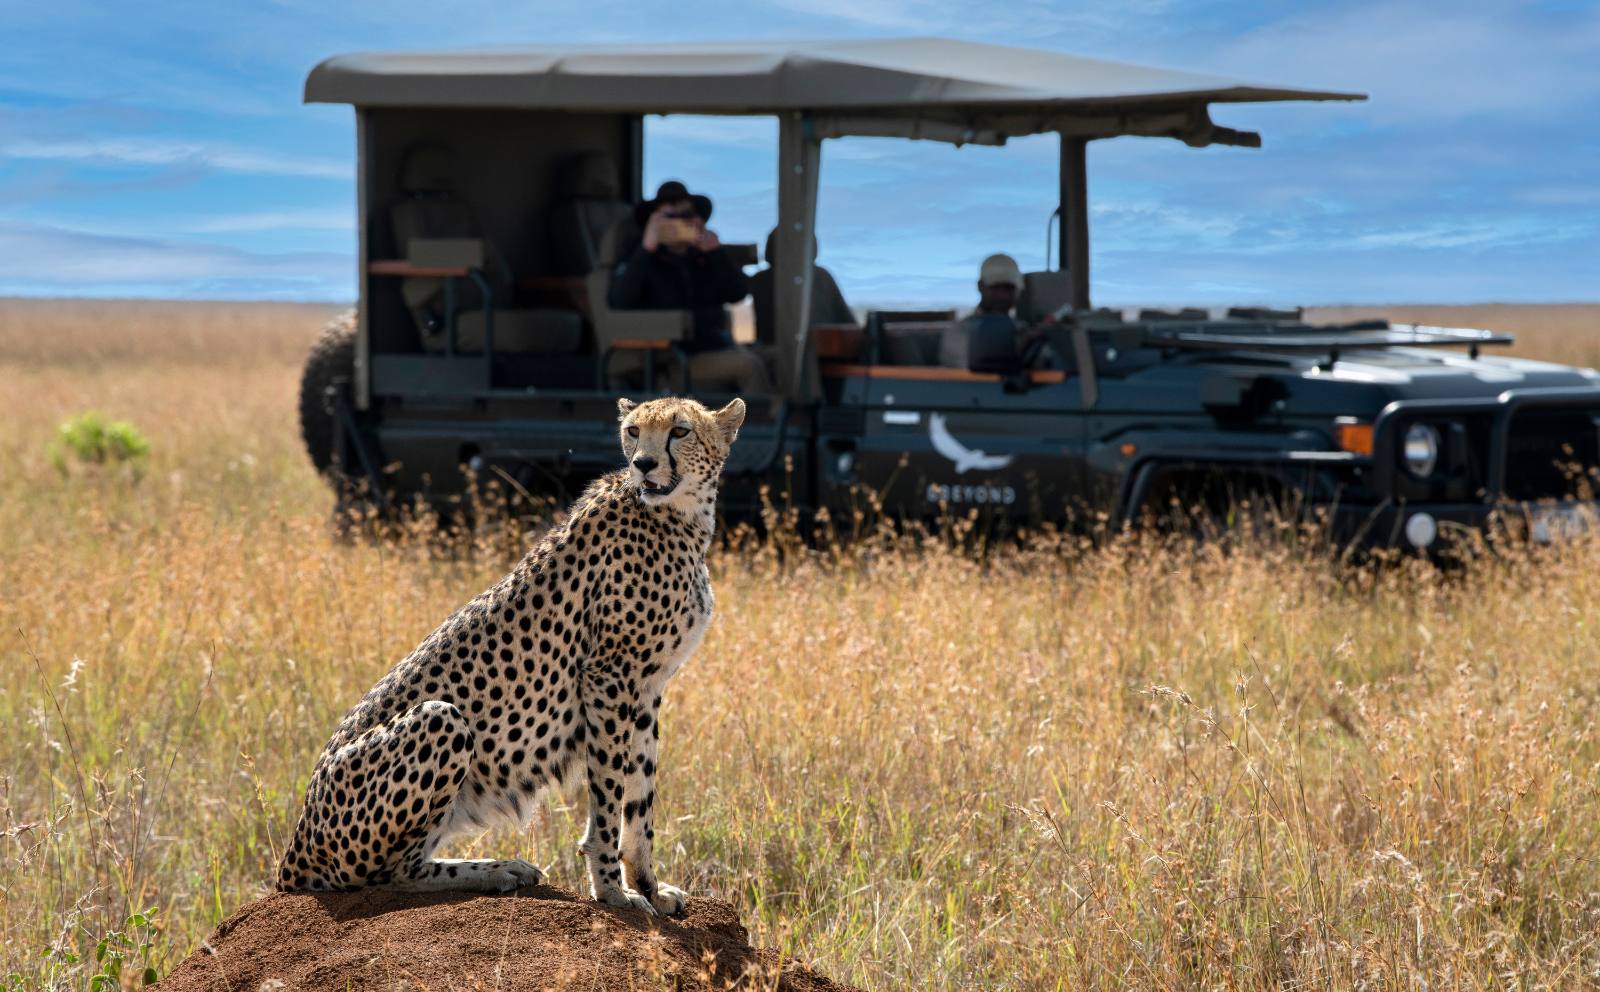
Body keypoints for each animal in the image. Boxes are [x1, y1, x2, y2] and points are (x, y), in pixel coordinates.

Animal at [276, 395, 746, 916]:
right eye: (633, 431)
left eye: (680, 431)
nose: (642, 464)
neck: (678, 515)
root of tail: (293, 852)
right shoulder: (608, 678)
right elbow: (608, 794)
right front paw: (610, 891)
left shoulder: (646, 687)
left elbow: (639, 796)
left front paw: (648, 886)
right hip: (440, 719)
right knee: (387, 874)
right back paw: (495, 870)